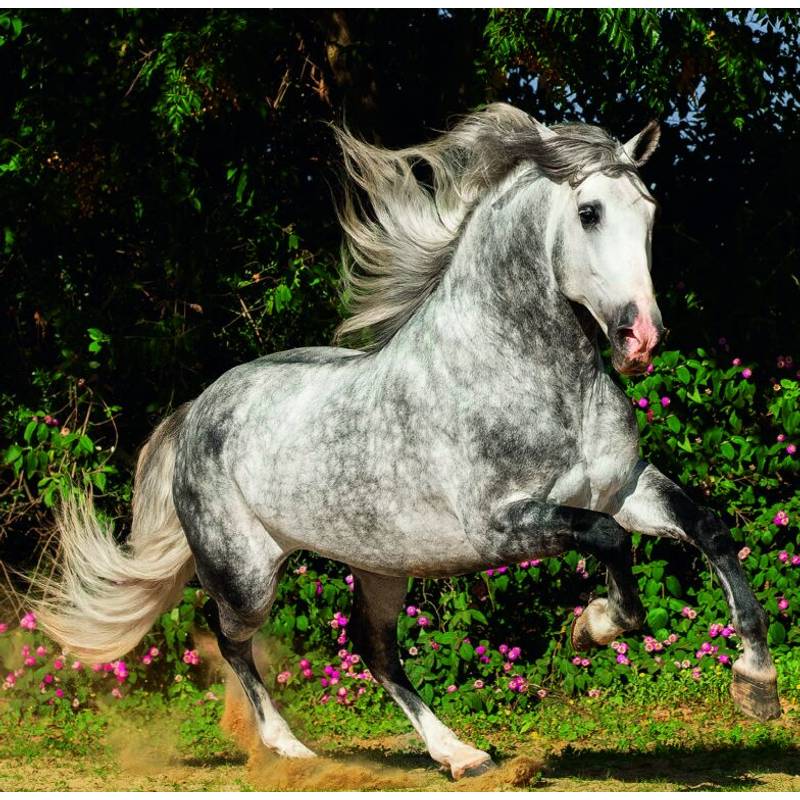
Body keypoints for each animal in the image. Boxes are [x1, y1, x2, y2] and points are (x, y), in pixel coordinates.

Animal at [36, 103, 780, 780]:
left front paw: (756, 683)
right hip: (247, 572)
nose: (641, 338)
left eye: (649, 209)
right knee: (230, 637)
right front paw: (594, 624)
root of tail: (199, 410)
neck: (533, 375)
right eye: (591, 211)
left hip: (384, 566)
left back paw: (461, 754)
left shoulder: (623, 487)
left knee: (374, 648)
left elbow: (708, 528)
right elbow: (608, 540)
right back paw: (290, 749)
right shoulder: (499, 526)